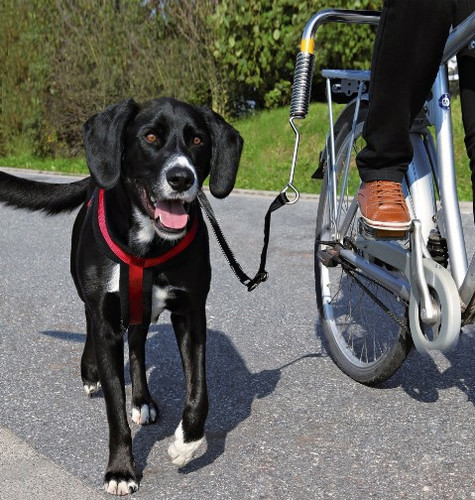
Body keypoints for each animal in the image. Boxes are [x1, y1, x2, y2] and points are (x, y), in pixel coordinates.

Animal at [0, 96, 244, 492]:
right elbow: (115, 409)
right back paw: (90, 371)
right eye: (150, 137)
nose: (182, 178)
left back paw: (142, 400)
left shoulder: (191, 312)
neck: (147, 244)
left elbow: (199, 390)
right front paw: (120, 470)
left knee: (139, 348)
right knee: (91, 324)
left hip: (141, 311)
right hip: (90, 295)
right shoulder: (106, 318)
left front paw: (187, 444)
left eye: (198, 140)